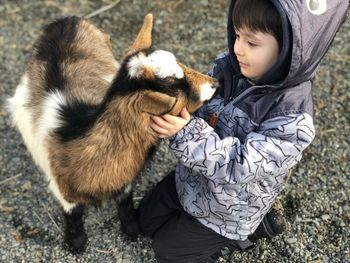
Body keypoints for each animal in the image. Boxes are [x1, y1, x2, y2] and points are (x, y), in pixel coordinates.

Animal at [6, 13, 217, 252]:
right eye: (174, 84)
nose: (215, 83)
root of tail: (67, 20)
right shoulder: (63, 189)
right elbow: (74, 212)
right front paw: (76, 243)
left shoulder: (124, 175)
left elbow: (125, 201)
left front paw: (131, 229)